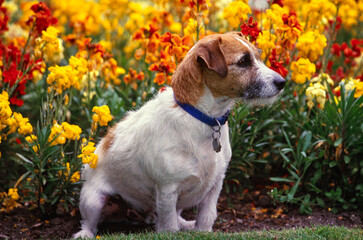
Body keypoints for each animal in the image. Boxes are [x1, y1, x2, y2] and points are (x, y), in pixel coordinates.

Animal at [73, 31, 284, 238]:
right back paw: (85, 234)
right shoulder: (167, 190)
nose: (282, 82)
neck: (203, 118)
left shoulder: (214, 186)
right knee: (89, 223)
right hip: (93, 200)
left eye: (258, 56)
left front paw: (201, 231)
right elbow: (169, 225)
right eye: (243, 61)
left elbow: (206, 216)